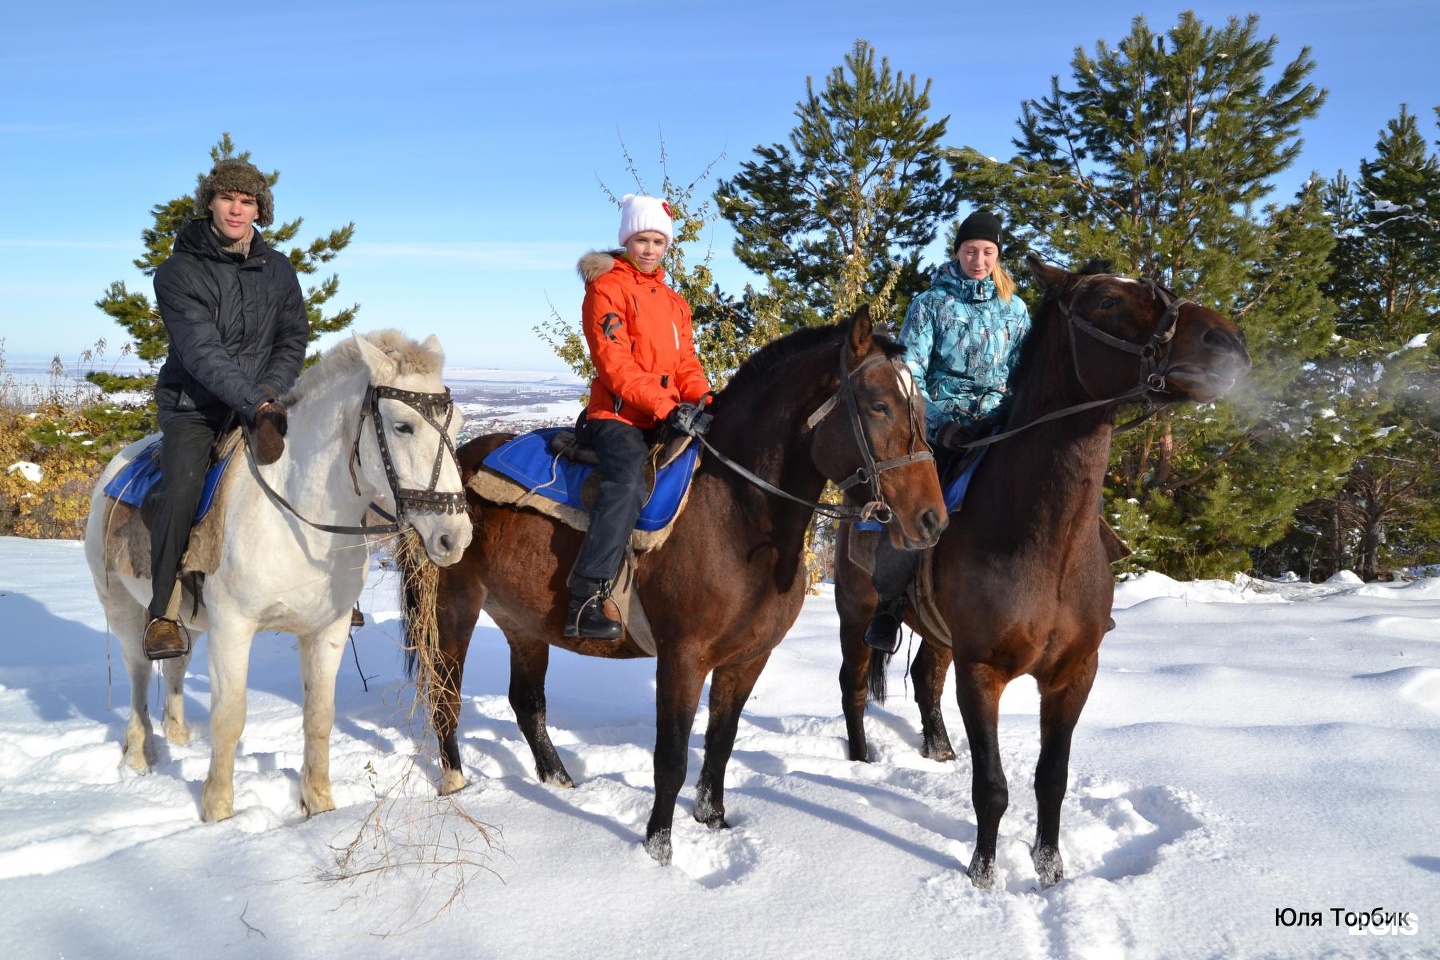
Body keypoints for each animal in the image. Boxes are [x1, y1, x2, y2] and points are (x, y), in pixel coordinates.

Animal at [84, 333, 472, 823]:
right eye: (403, 426)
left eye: (458, 425)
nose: (454, 537)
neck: (297, 513)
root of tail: (117, 466)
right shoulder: (234, 628)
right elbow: (229, 718)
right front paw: (218, 810)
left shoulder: (327, 630)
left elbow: (319, 717)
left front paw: (320, 806)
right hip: (122, 606)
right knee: (137, 670)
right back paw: (139, 754)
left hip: (187, 618)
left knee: (175, 663)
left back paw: (177, 739)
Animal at [400, 312, 950, 869]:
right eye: (879, 405)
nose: (932, 520)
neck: (737, 512)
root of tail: (453, 469)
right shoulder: (683, 657)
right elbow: (671, 758)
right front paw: (659, 850)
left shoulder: (747, 658)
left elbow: (721, 743)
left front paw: (713, 822)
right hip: (453, 608)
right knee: (446, 695)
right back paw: (456, 782)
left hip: (523, 622)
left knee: (527, 703)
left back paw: (559, 781)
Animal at [835, 253, 1249, 886]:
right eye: (1107, 300)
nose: (1227, 341)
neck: (1047, 545)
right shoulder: (982, 672)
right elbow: (992, 787)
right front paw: (982, 874)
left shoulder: (1074, 674)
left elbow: (1051, 780)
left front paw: (1050, 870)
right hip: (855, 616)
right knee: (854, 687)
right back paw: (861, 760)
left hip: (938, 635)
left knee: (926, 679)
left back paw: (938, 749)